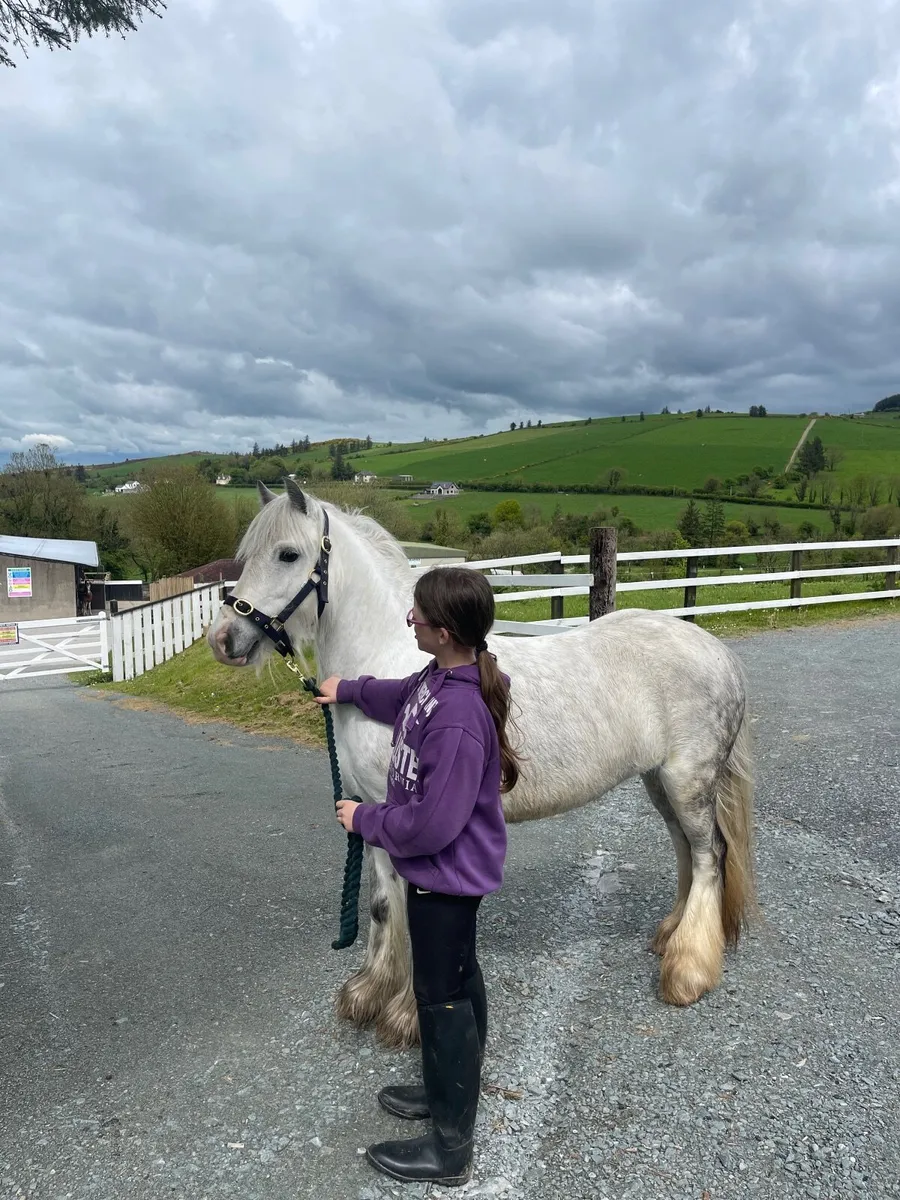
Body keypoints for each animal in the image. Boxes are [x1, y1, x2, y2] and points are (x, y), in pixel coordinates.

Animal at [208, 480, 756, 1049]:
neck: (390, 657)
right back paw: (669, 936)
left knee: (709, 855)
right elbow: (383, 906)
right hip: (659, 782)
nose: (222, 640)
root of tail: (717, 651)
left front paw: (403, 1015)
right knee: (686, 851)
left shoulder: (409, 818)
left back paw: (688, 969)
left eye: (287, 554)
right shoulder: (370, 814)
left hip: (688, 780)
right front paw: (367, 993)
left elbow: (413, 910)